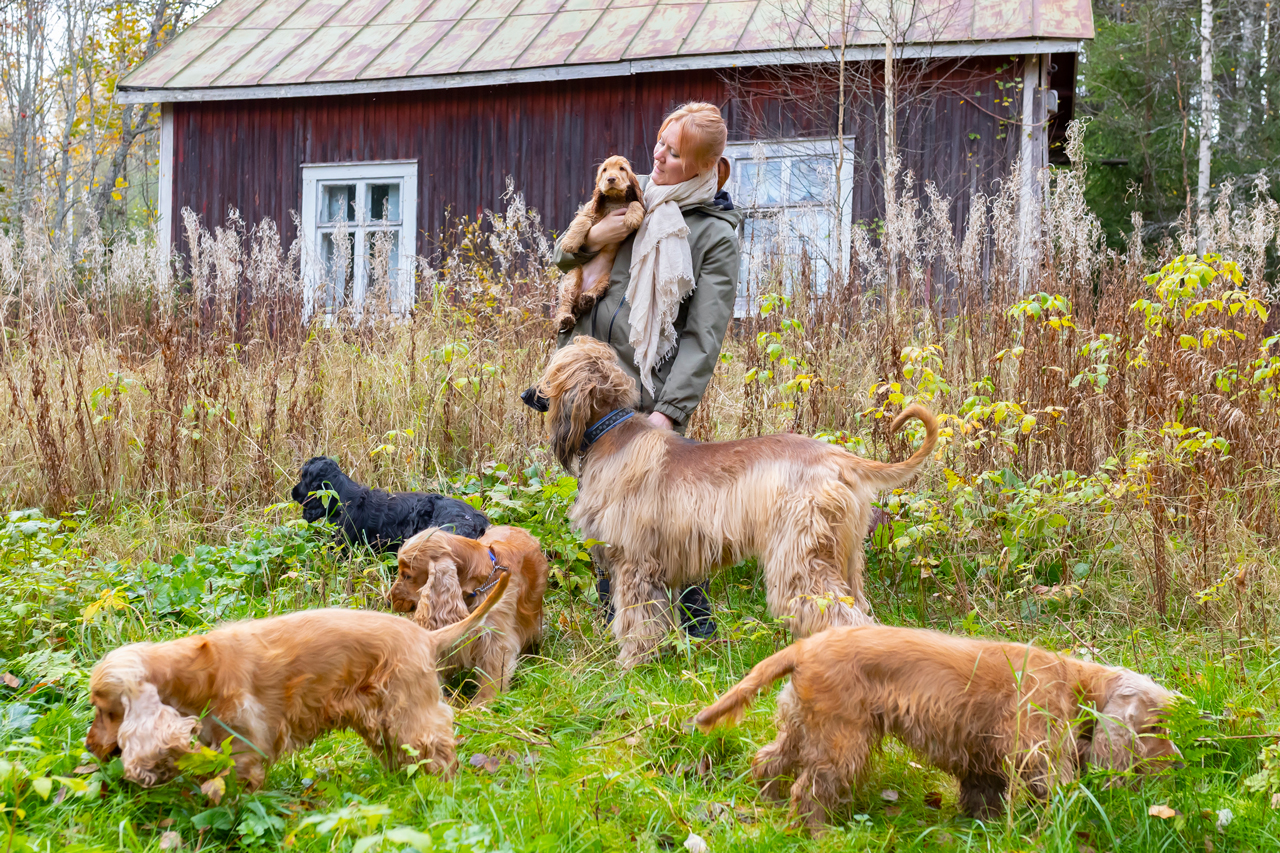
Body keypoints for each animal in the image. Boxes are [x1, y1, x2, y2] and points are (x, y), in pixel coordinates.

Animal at [81, 573, 514, 788]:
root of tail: (425, 636)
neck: (193, 672)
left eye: (105, 711)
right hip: (380, 720)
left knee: (437, 751)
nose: (88, 746)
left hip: (409, 712)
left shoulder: (245, 745)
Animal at [389, 525, 550, 701]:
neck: (478, 585)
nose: (388, 600)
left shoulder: (495, 639)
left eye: (407, 575)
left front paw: (484, 702)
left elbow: (491, 676)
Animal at [535, 338, 936, 666]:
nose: (528, 395)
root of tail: (840, 458)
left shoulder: (635, 561)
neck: (611, 433)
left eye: (551, 370)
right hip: (847, 554)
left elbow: (638, 621)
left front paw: (631, 665)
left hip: (801, 555)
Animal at [696, 622, 1182, 824]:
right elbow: (1056, 796)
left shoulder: (983, 756)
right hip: (842, 741)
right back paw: (818, 831)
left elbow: (983, 793)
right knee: (811, 789)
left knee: (767, 761)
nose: (1179, 765)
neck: (1076, 683)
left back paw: (770, 803)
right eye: (1157, 728)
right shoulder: (1037, 754)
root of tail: (804, 647)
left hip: (804, 728)